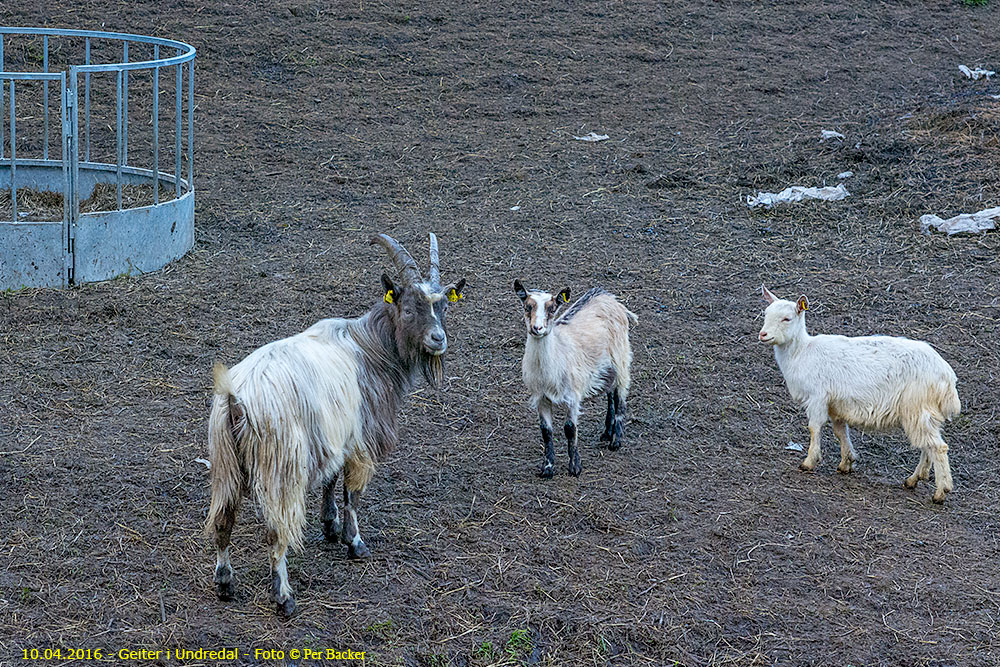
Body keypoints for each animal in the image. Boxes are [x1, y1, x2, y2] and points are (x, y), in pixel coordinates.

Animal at [206, 234, 468, 616]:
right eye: (407, 309)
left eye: (444, 308)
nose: (438, 339)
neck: (370, 348)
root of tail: (236, 400)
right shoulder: (361, 440)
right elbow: (353, 494)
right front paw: (354, 543)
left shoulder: (333, 435)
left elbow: (330, 479)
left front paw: (329, 526)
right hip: (281, 467)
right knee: (276, 531)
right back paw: (283, 596)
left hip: (225, 464)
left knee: (223, 521)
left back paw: (225, 584)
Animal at [512, 282, 636, 480]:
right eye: (527, 307)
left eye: (552, 308)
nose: (537, 328)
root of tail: (610, 298)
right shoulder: (541, 397)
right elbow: (546, 431)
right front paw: (547, 468)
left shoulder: (572, 396)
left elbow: (570, 429)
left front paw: (575, 468)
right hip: (606, 367)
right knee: (610, 393)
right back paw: (606, 433)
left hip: (621, 359)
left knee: (620, 397)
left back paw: (615, 440)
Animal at [756, 284, 960, 504]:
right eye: (766, 313)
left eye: (787, 318)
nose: (763, 334)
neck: (802, 352)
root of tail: (947, 377)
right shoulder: (835, 404)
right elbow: (840, 431)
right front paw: (846, 463)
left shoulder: (818, 396)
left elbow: (814, 427)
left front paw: (809, 462)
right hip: (924, 411)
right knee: (927, 445)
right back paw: (913, 479)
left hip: (917, 406)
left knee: (937, 447)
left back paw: (940, 492)